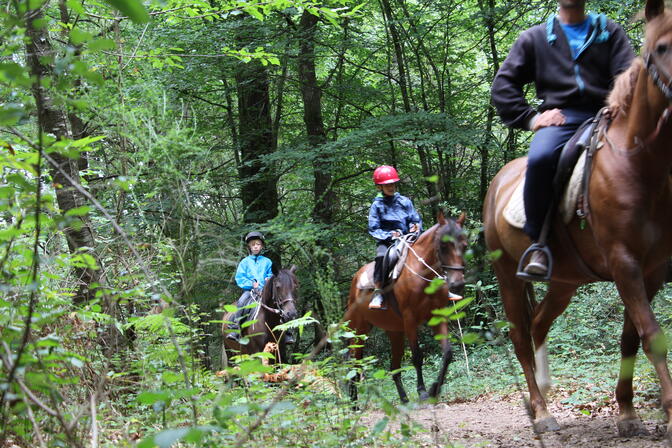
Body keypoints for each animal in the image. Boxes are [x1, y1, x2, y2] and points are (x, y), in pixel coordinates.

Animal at [342, 212, 468, 404]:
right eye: (443, 245)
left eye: (465, 244)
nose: (457, 283)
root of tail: (356, 279)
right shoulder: (410, 320)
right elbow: (417, 357)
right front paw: (422, 392)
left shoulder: (437, 318)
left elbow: (447, 353)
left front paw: (434, 390)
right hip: (359, 331)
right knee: (354, 363)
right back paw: (354, 404)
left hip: (394, 332)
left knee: (394, 367)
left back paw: (404, 399)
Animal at [486, 0, 672, 438]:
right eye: (661, 48)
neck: (640, 164)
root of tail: (498, 180)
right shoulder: (624, 263)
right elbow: (652, 335)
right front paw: (669, 411)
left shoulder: (653, 269)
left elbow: (630, 338)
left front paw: (627, 413)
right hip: (506, 276)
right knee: (520, 335)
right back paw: (541, 412)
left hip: (564, 282)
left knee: (539, 324)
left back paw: (544, 391)